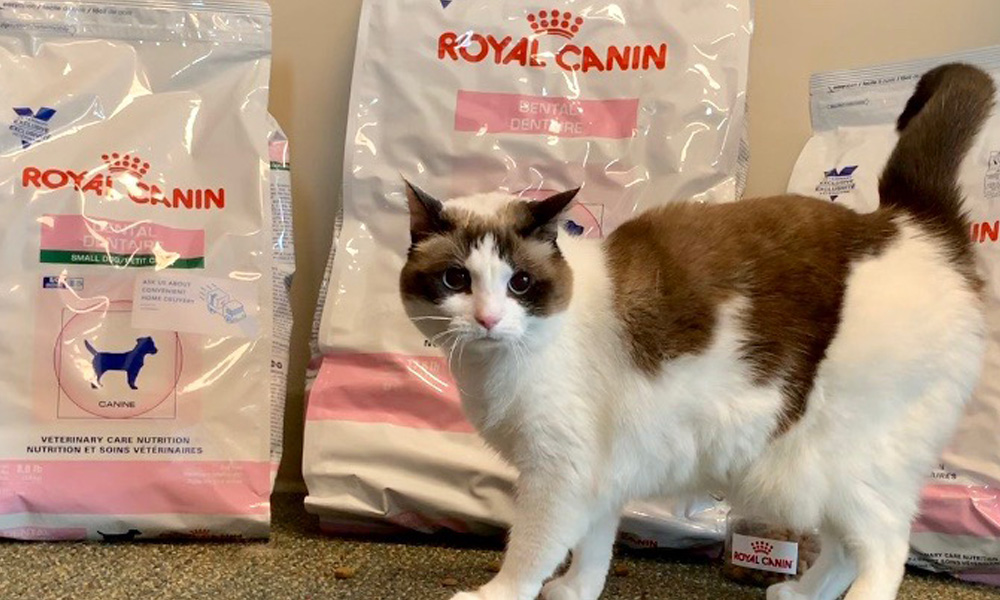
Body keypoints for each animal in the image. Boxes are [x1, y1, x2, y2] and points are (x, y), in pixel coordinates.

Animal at [398, 63, 992, 596]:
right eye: (456, 279)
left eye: (519, 283)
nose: (487, 318)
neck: (494, 368)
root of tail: (908, 222)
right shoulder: (599, 474)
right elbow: (594, 547)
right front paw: (576, 591)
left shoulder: (558, 476)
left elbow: (529, 551)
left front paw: (499, 592)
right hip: (816, 476)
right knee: (847, 549)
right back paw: (798, 594)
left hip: (840, 465)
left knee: (884, 551)